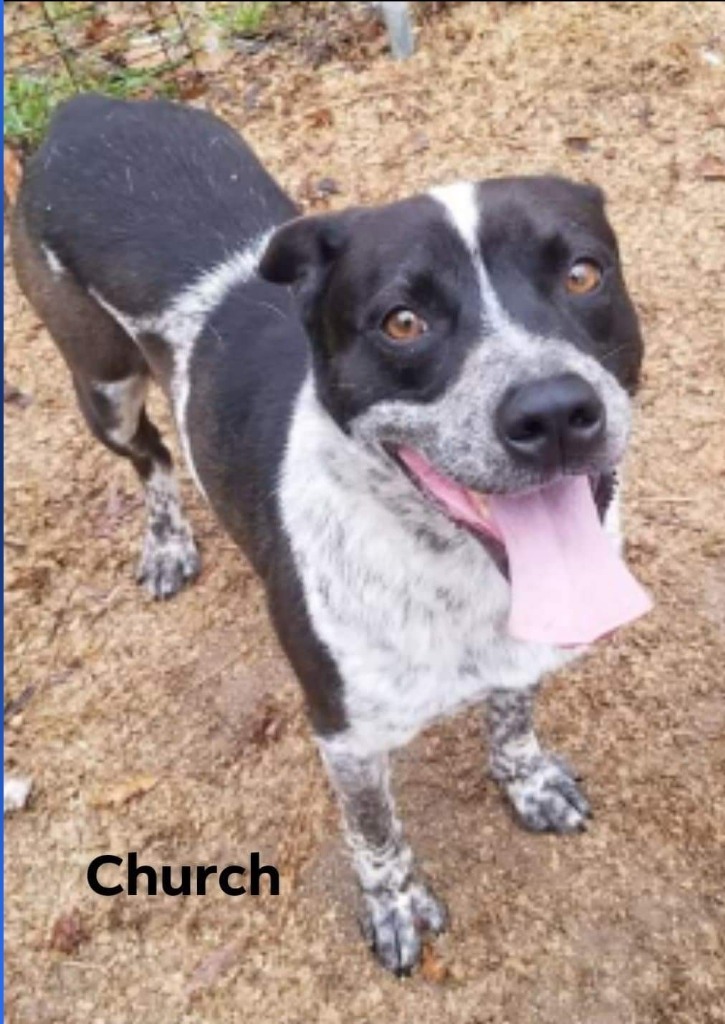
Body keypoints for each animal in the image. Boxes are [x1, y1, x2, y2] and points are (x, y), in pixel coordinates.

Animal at [11, 97, 647, 974]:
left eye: (582, 273)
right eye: (401, 322)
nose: (552, 411)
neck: (451, 569)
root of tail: (83, 108)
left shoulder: (522, 652)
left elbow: (512, 715)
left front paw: (526, 781)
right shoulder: (344, 736)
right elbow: (374, 832)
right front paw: (396, 905)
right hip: (102, 384)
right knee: (151, 457)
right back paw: (167, 541)